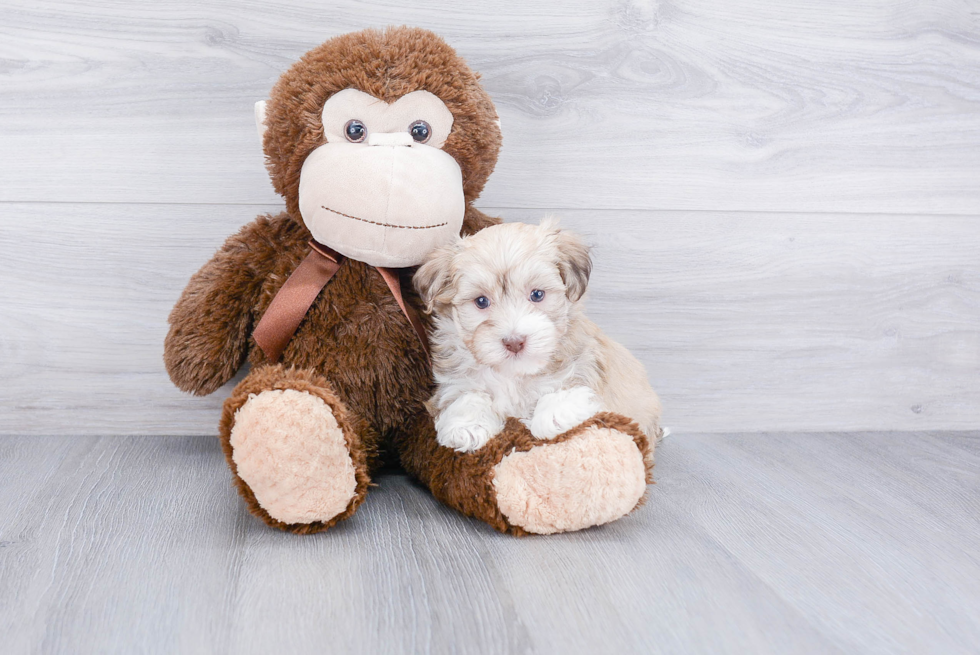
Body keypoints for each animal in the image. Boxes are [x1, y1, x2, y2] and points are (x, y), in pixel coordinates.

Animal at [410, 218, 664, 454]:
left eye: (537, 295)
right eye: (481, 301)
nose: (514, 342)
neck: (513, 374)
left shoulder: (584, 366)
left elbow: (568, 389)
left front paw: (553, 415)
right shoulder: (455, 379)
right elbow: (464, 395)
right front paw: (467, 425)